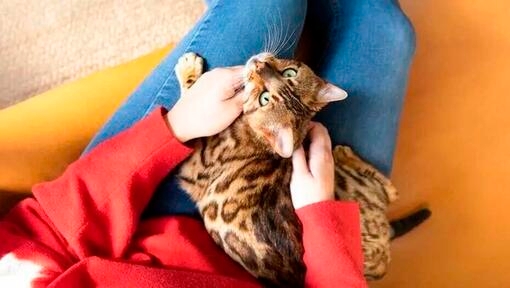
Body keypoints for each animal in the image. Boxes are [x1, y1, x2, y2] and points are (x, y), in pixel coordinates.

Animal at [174, 52, 346, 288]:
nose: (259, 64)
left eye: (263, 98)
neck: (256, 136)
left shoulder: (194, 164)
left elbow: (190, 100)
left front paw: (188, 68)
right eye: (289, 72)